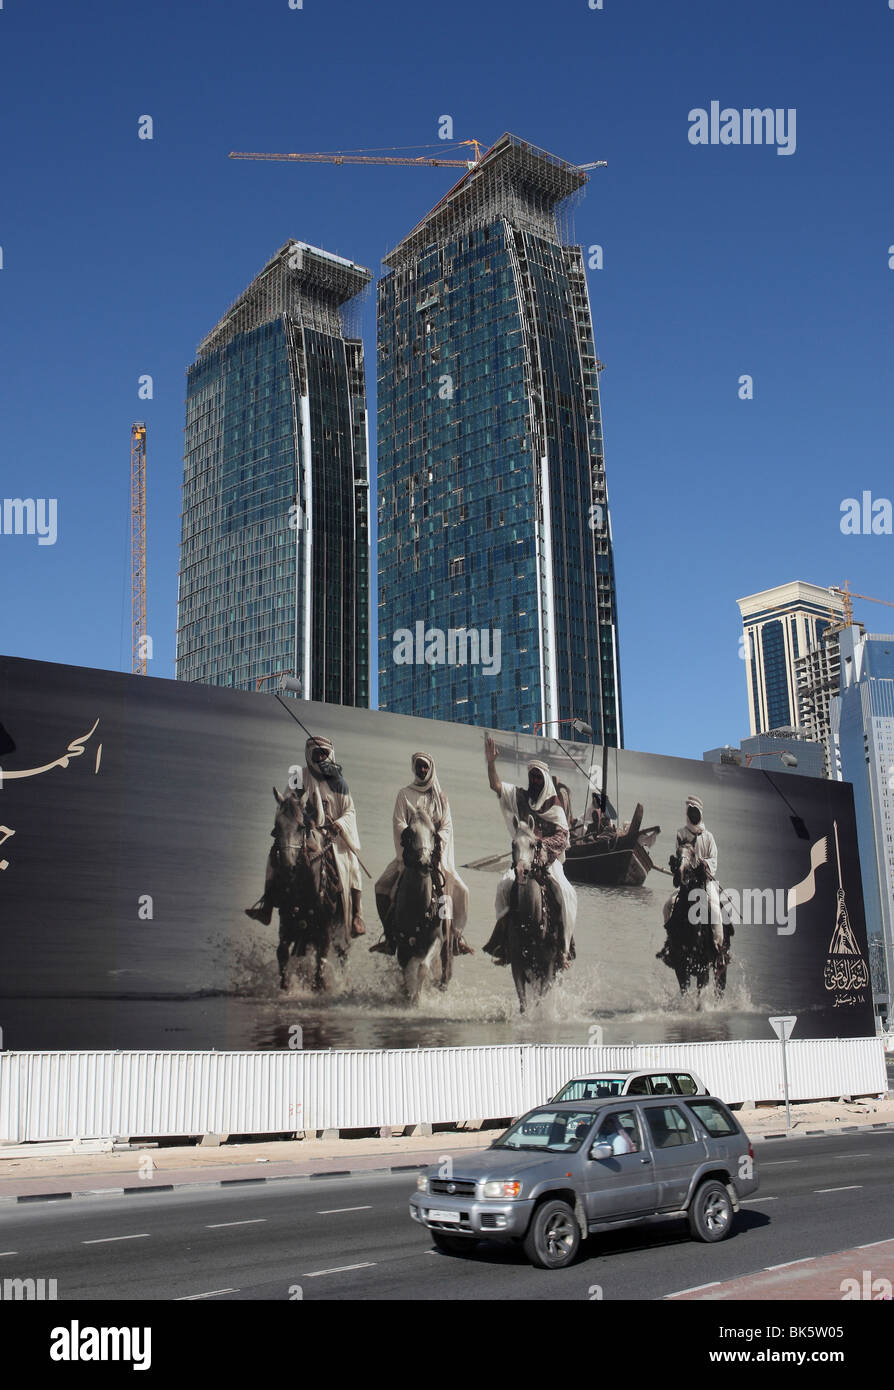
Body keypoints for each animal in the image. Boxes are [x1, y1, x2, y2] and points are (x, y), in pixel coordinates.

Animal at [269, 789, 350, 995]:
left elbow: (321, 960)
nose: (287, 867)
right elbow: (282, 953)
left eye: (300, 827)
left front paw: (319, 987)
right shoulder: (287, 921)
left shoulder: (326, 928)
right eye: (277, 827)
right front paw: (285, 987)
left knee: (342, 955)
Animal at [392, 811, 450, 1006]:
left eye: (433, 833)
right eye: (410, 832)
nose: (424, 863)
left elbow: (423, 967)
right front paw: (410, 995)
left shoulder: (437, 939)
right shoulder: (403, 945)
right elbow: (407, 971)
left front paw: (416, 999)